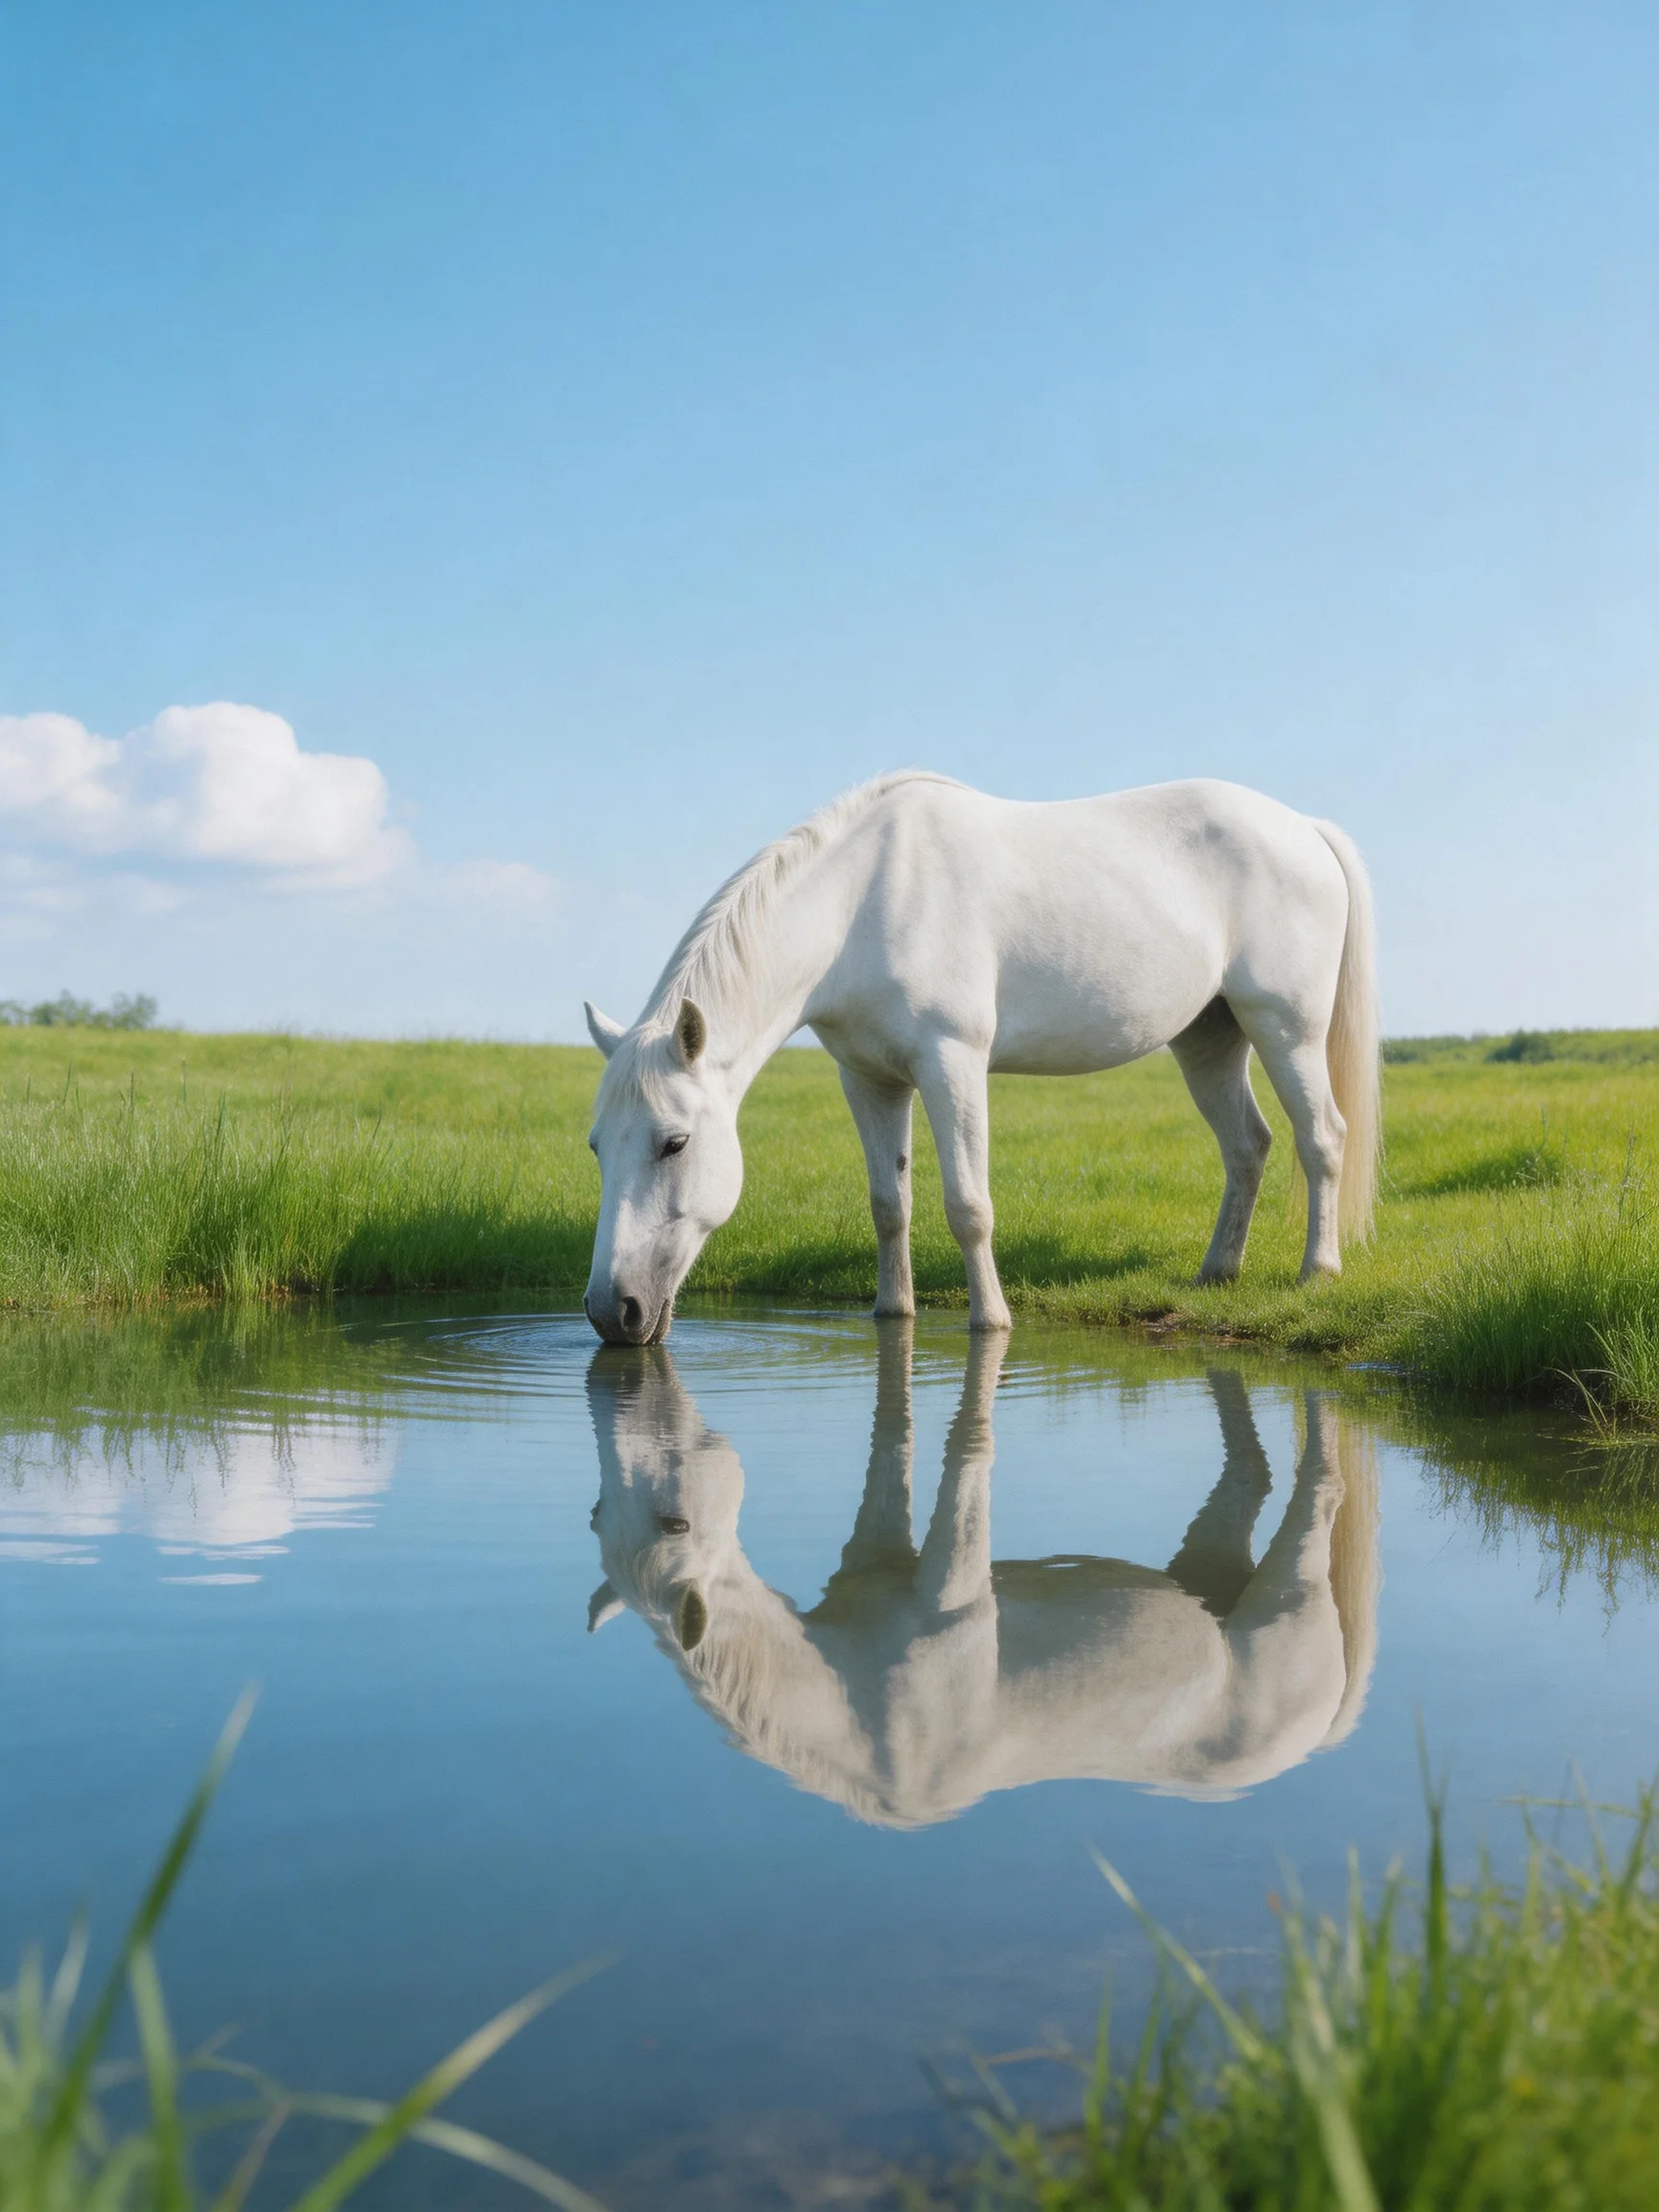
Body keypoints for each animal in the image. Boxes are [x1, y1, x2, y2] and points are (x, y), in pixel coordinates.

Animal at [581, 774, 1379, 1343]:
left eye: (675, 1143)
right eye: (595, 1147)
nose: (611, 1312)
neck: (864, 903)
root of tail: (1305, 829)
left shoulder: (952, 1064)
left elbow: (968, 1206)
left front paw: (990, 1320)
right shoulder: (868, 1080)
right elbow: (889, 1204)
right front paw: (892, 1311)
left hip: (1286, 1028)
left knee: (1322, 1138)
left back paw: (1318, 1272)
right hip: (1209, 1038)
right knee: (1248, 1145)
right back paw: (1217, 1273)